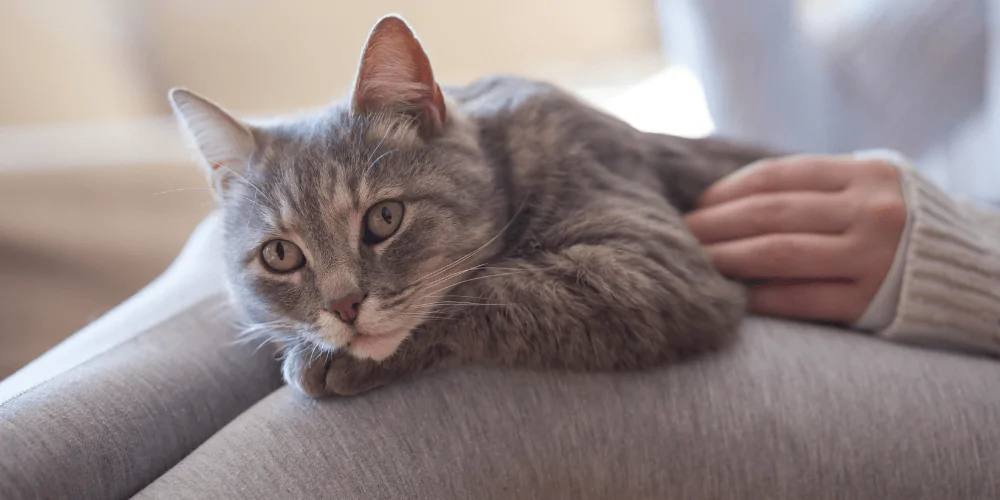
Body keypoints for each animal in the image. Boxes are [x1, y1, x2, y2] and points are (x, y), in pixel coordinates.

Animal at [170, 16, 772, 398]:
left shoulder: (650, 265)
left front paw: (324, 362)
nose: (344, 306)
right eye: (280, 255)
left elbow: (492, 288)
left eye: (384, 218)